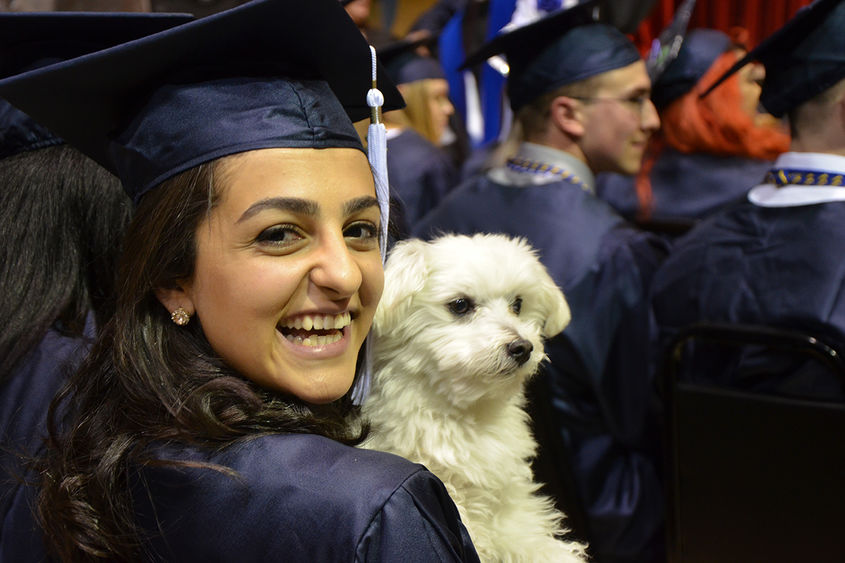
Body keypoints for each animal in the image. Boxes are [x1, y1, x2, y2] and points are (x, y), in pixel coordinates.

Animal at [362, 235, 588, 563]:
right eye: (460, 305)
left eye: (518, 304)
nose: (522, 347)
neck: (462, 415)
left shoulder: (510, 505)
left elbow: (530, 537)